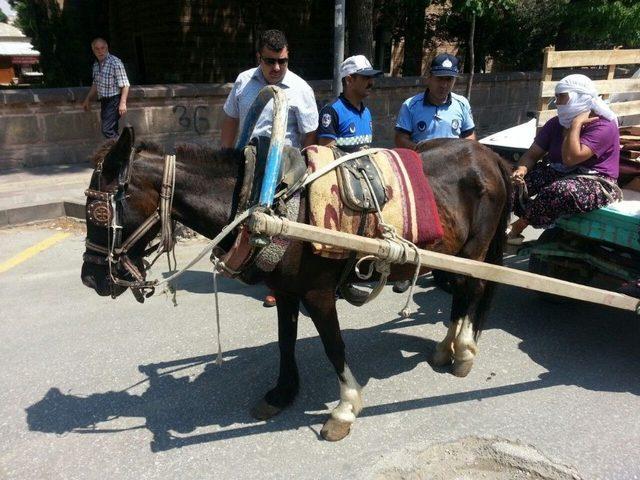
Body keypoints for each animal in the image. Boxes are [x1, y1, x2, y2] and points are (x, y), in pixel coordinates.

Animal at [81, 127, 510, 442]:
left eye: (99, 210)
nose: (91, 278)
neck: (267, 205)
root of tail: (490, 156)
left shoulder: (318, 294)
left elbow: (334, 347)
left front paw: (345, 408)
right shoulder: (286, 291)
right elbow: (285, 341)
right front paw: (283, 393)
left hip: (474, 251)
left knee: (471, 291)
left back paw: (463, 352)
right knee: (460, 293)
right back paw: (445, 349)